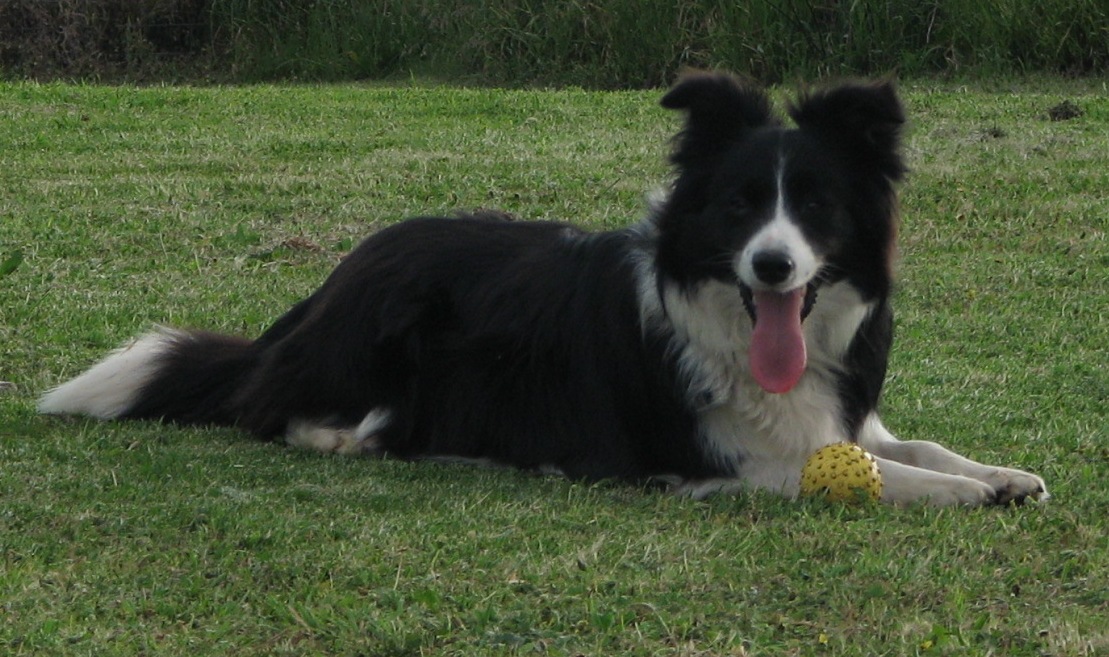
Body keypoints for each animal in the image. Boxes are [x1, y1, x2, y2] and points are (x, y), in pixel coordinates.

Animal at [39, 74, 1046, 508]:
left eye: (815, 207)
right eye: (738, 206)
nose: (771, 266)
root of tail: (317, 297)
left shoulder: (838, 415)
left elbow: (910, 443)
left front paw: (1002, 473)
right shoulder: (722, 460)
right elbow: (885, 474)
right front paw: (966, 493)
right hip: (384, 336)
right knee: (268, 408)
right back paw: (342, 435)